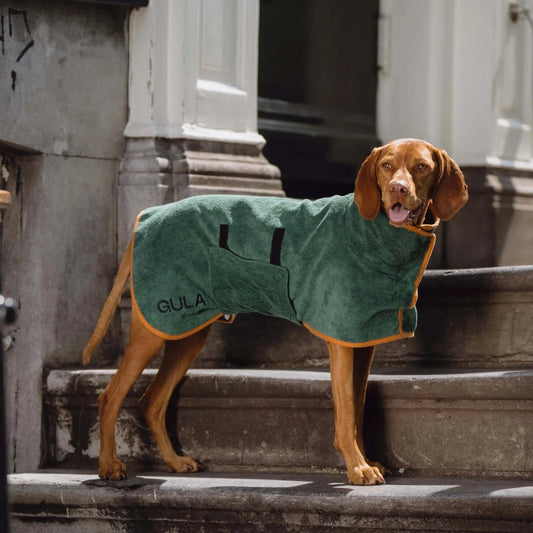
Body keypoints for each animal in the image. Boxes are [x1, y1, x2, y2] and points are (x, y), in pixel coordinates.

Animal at [82, 136, 466, 482]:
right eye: (386, 165)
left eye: (422, 167)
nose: (398, 189)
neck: (377, 233)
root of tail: (150, 214)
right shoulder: (341, 343)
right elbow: (345, 413)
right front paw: (357, 468)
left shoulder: (361, 343)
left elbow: (356, 408)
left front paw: (365, 460)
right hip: (155, 325)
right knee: (110, 396)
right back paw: (109, 465)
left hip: (187, 333)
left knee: (152, 401)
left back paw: (175, 462)